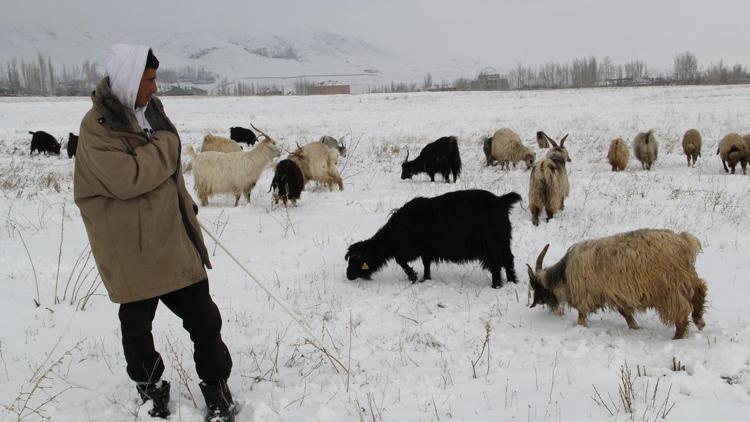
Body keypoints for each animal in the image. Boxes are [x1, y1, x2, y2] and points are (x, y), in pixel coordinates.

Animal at [346, 190, 524, 288]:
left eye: (357, 259)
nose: (348, 275)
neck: (394, 234)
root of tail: (501, 200)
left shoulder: (411, 248)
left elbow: (401, 260)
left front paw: (413, 277)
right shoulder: (427, 249)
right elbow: (426, 264)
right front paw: (425, 279)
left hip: (491, 244)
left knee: (496, 265)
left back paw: (496, 286)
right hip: (503, 240)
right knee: (508, 260)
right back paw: (512, 282)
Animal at [524, 227, 708, 340]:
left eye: (535, 286)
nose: (536, 303)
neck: (564, 274)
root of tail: (683, 241)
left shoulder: (586, 296)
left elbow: (582, 316)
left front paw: (580, 328)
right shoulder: (616, 295)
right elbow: (625, 313)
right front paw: (635, 327)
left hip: (668, 289)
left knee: (681, 311)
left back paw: (677, 337)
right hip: (686, 278)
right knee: (700, 290)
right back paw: (699, 321)